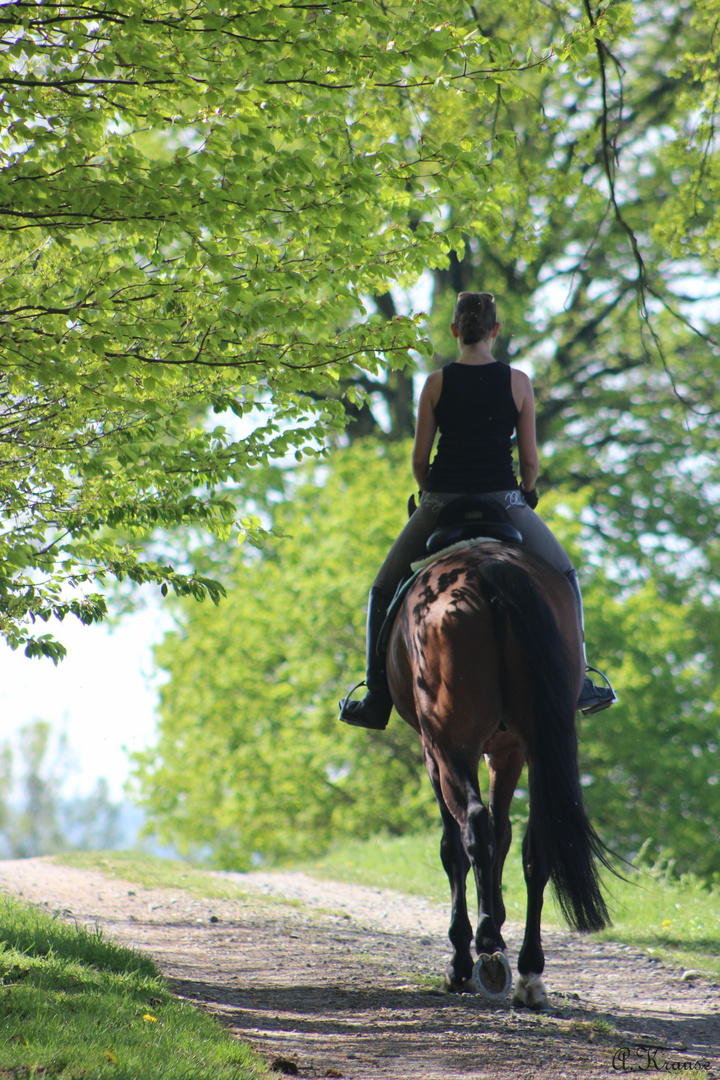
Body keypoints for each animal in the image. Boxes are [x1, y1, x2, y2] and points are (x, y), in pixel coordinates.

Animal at [386, 544, 613, 1006]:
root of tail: (488, 566)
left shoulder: (434, 752)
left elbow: (455, 845)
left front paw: (462, 956)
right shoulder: (508, 750)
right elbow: (503, 831)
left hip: (449, 743)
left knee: (471, 826)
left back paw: (486, 948)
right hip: (535, 740)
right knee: (537, 842)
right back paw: (529, 973)